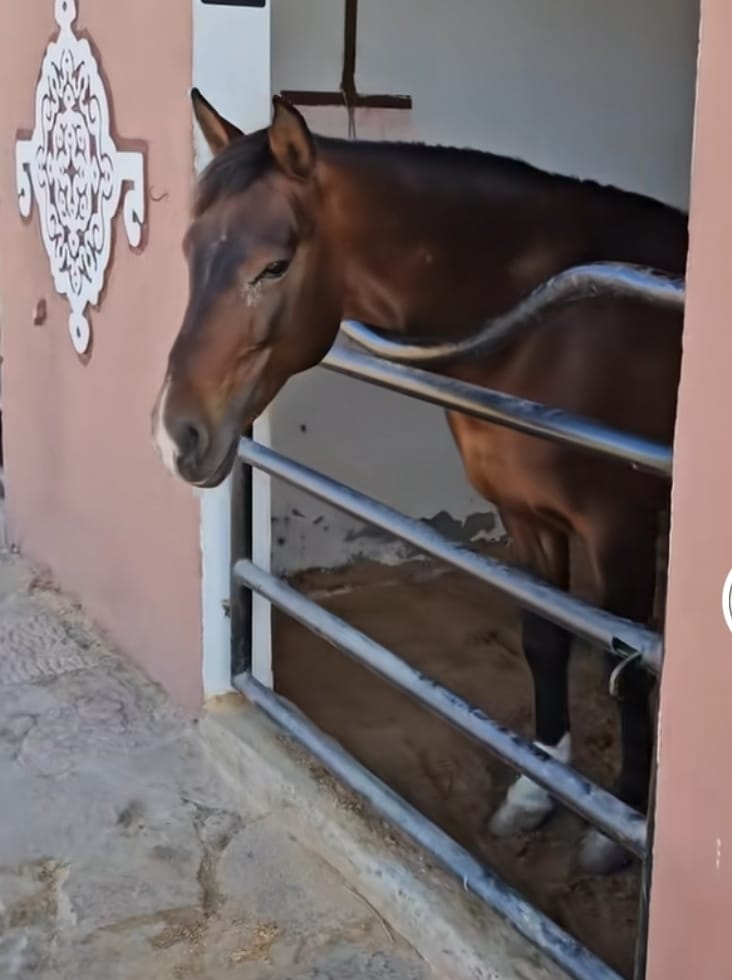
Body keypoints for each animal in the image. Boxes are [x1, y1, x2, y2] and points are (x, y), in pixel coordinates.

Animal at [152, 90, 687, 875]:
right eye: (191, 253)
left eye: (274, 266)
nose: (176, 436)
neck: (543, 322)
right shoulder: (528, 519)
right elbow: (544, 642)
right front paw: (536, 791)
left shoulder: (619, 528)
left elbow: (636, 669)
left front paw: (614, 828)